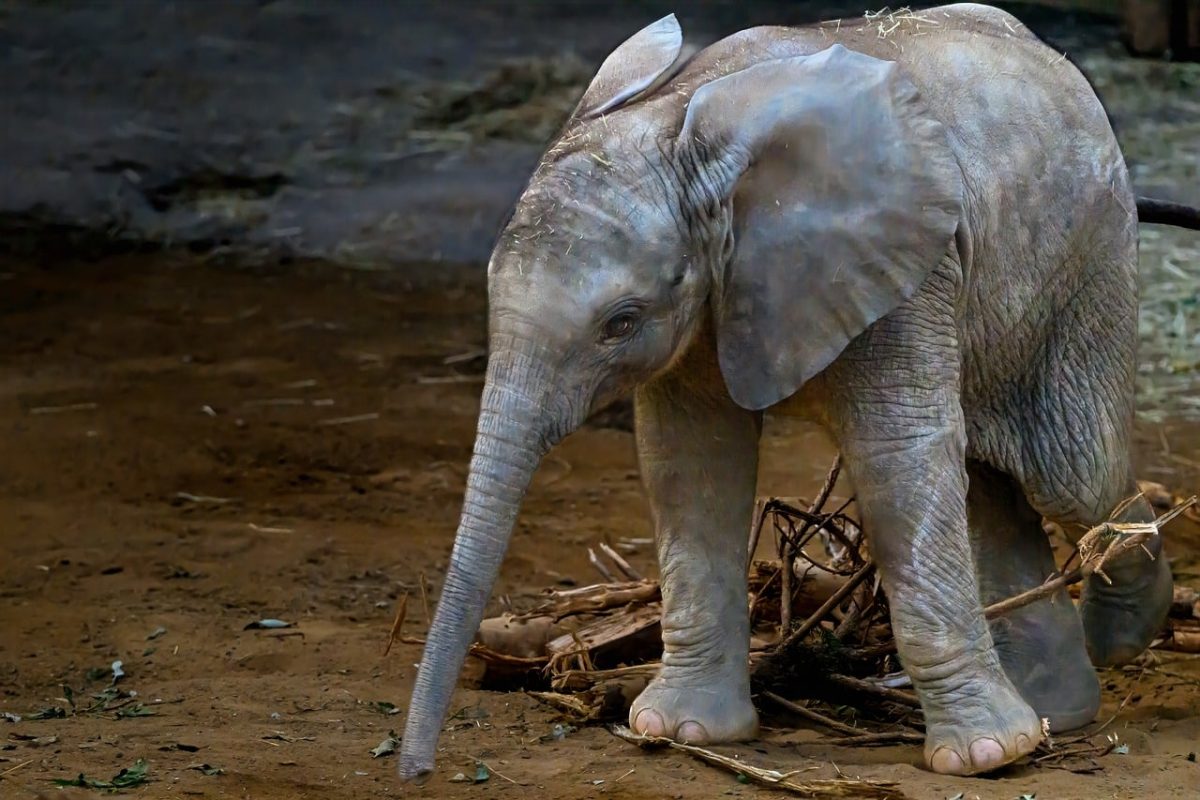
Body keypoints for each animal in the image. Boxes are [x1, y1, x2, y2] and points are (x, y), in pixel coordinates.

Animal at [400, 3, 1199, 779]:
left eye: (619, 323)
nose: (416, 771)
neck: (682, 121)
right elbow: (690, 462)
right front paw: (680, 731)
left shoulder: (906, 265)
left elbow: (895, 460)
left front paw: (979, 761)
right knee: (993, 488)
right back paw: (1053, 718)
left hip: (1088, 267)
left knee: (1073, 474)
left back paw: (1115, 642)